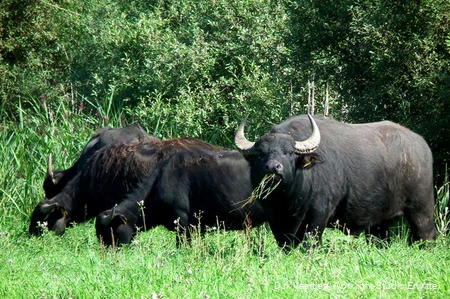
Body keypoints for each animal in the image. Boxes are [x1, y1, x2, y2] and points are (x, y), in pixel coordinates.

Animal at [236, 115, 436, 251]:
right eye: (261, 154)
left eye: (290, 152)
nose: (273, 167)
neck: (288, 200)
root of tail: (422, 145)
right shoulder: (275, 219)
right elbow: (284, 243)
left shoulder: (319, 213)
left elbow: (310, 243)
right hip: (380, 221)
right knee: (380, 238)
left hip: (421, 209)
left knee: (426, 235)